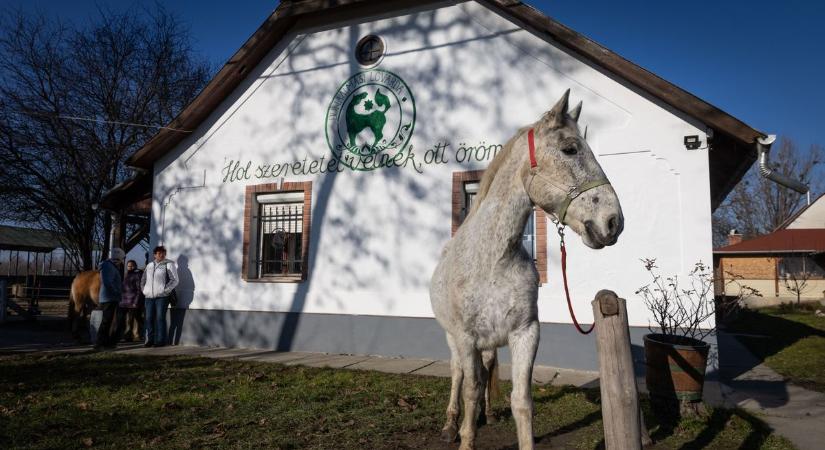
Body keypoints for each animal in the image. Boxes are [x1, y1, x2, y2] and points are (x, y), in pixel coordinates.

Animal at [428, 89, 620, 448]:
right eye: (570, 149)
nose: (614, 222)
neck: (493, 260)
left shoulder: (525, 333)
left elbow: (521, 401)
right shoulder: (465, 338)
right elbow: (470, 389)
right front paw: (464, 435)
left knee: (487, 366)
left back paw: (488, 414)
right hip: (451, 337)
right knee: (457, 373)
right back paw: (449, 425)